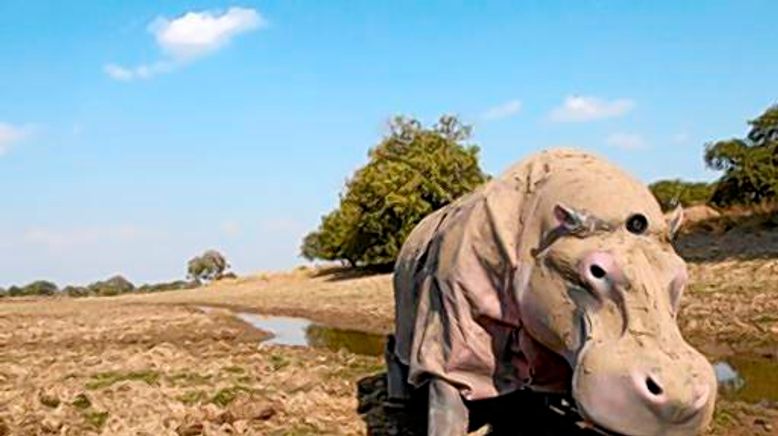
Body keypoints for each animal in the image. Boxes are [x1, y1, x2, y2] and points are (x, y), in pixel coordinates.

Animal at [386, 149, 716, 436]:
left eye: (681, 274)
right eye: (596, 270)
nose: (682, 393)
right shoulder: (449, 314)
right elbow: (447, 394)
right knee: (399, 343)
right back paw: (397, 401)